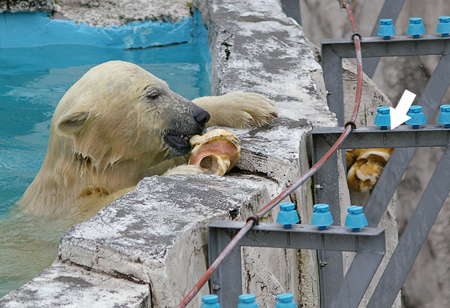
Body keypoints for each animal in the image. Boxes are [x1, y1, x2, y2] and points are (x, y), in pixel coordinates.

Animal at [17, 60, 276, 221]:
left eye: (167, 87)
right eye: (152, 94)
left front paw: (251, 106)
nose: (201, 116)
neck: (89, 168)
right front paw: (186, 172)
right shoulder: (69, 208)